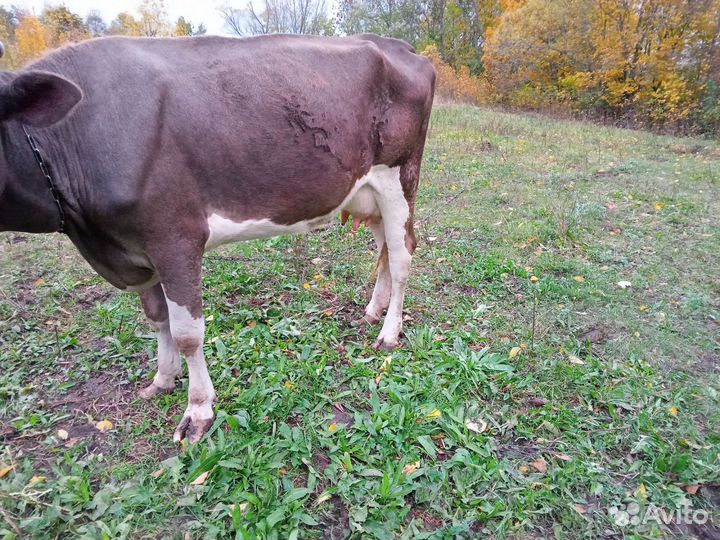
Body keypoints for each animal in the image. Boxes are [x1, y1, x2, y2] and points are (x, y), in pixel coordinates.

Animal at [0, 34, 435, 443]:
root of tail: (399, 46)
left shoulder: (174, 237)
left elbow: (187, 333)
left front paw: (198, 410)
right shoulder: (138, 249)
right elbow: (157, 318)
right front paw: (162, 379)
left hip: (399, 176)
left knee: (401, 256)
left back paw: (389, 333)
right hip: (367, 192)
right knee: (384, 248)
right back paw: (373, 309)